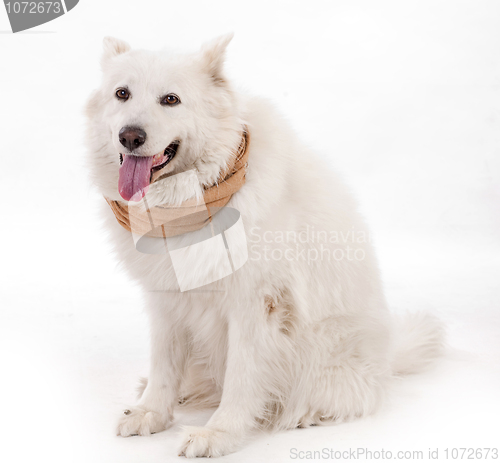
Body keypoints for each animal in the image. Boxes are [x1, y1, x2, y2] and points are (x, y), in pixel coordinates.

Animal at [84, 34, 444, 458]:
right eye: (122, 93)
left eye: (170, 99)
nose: (130, 136)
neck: (191, 202)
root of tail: (388, 357)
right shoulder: (166, 299)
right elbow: (164, 365)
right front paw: (152, 412)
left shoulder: (256, 306)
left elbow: (241, 378)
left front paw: (219, 433)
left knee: (351, 395)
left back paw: (305, 412)